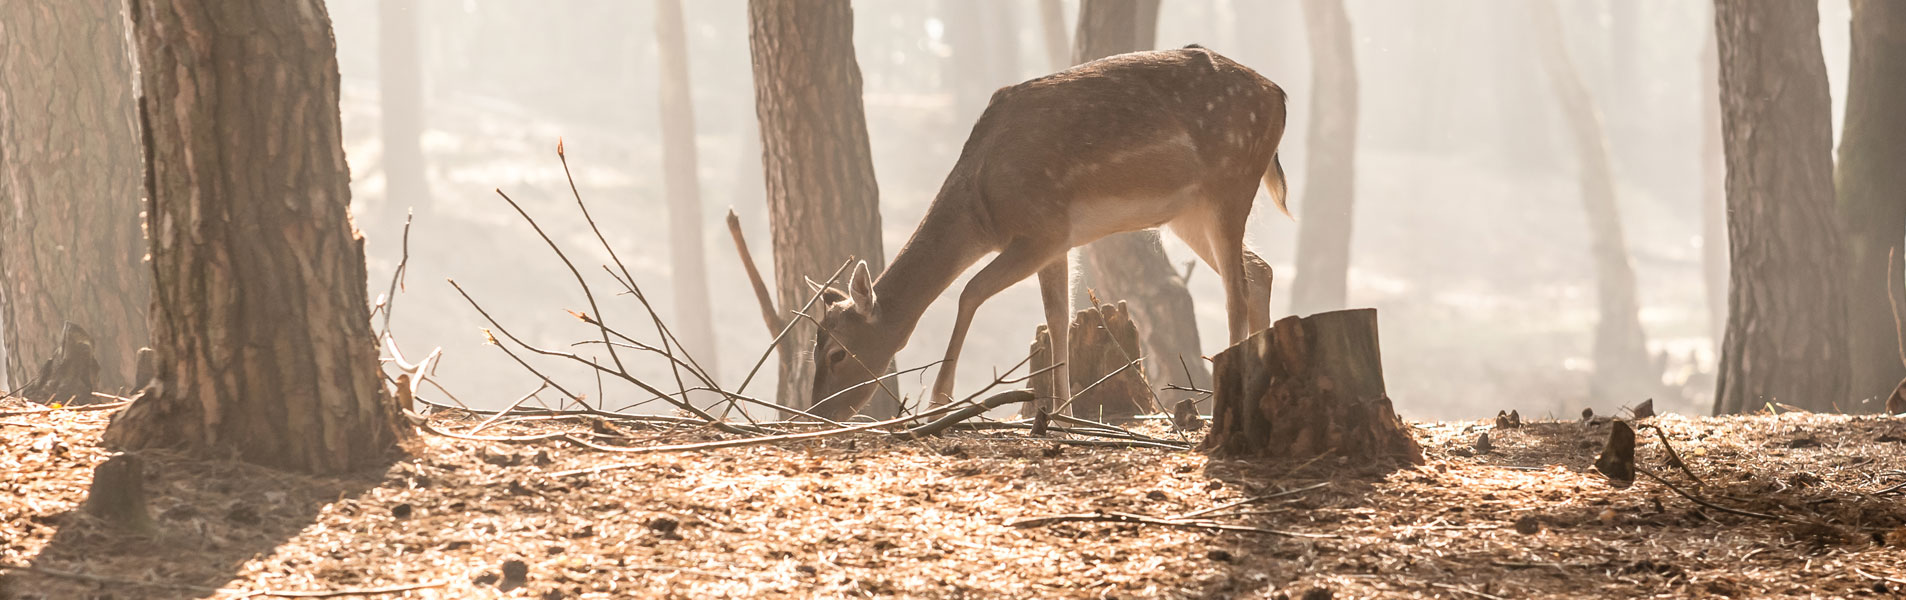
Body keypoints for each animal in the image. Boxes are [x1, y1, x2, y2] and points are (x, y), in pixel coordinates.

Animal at [789, 45, 1296, 422]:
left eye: (836, 354)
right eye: (812, 349)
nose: (816, 413)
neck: (983, 205)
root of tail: (1280, 96)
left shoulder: (1042, 229)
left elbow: (969, 292)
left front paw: (940, 402)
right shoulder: (1058, 240)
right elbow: (1057, 316)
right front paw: (1065, 415)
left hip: (1231, 179)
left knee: (1237, 289)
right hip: (1188, 213)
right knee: (1262, 272)